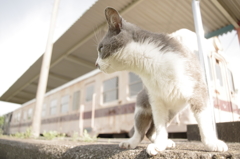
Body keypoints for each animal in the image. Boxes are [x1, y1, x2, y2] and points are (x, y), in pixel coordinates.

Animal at [95, 7, 227, 155]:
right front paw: (159, 145)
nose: (96, 64)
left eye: (101, 48)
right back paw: (132, 142)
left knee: (150, 130)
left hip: (172, 111)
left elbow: (204, 121)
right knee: (141, 130)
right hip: (142, 106)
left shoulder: (197, 89)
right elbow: (159, 126)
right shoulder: (156, 99)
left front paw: (212, 143)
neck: (147, 63)